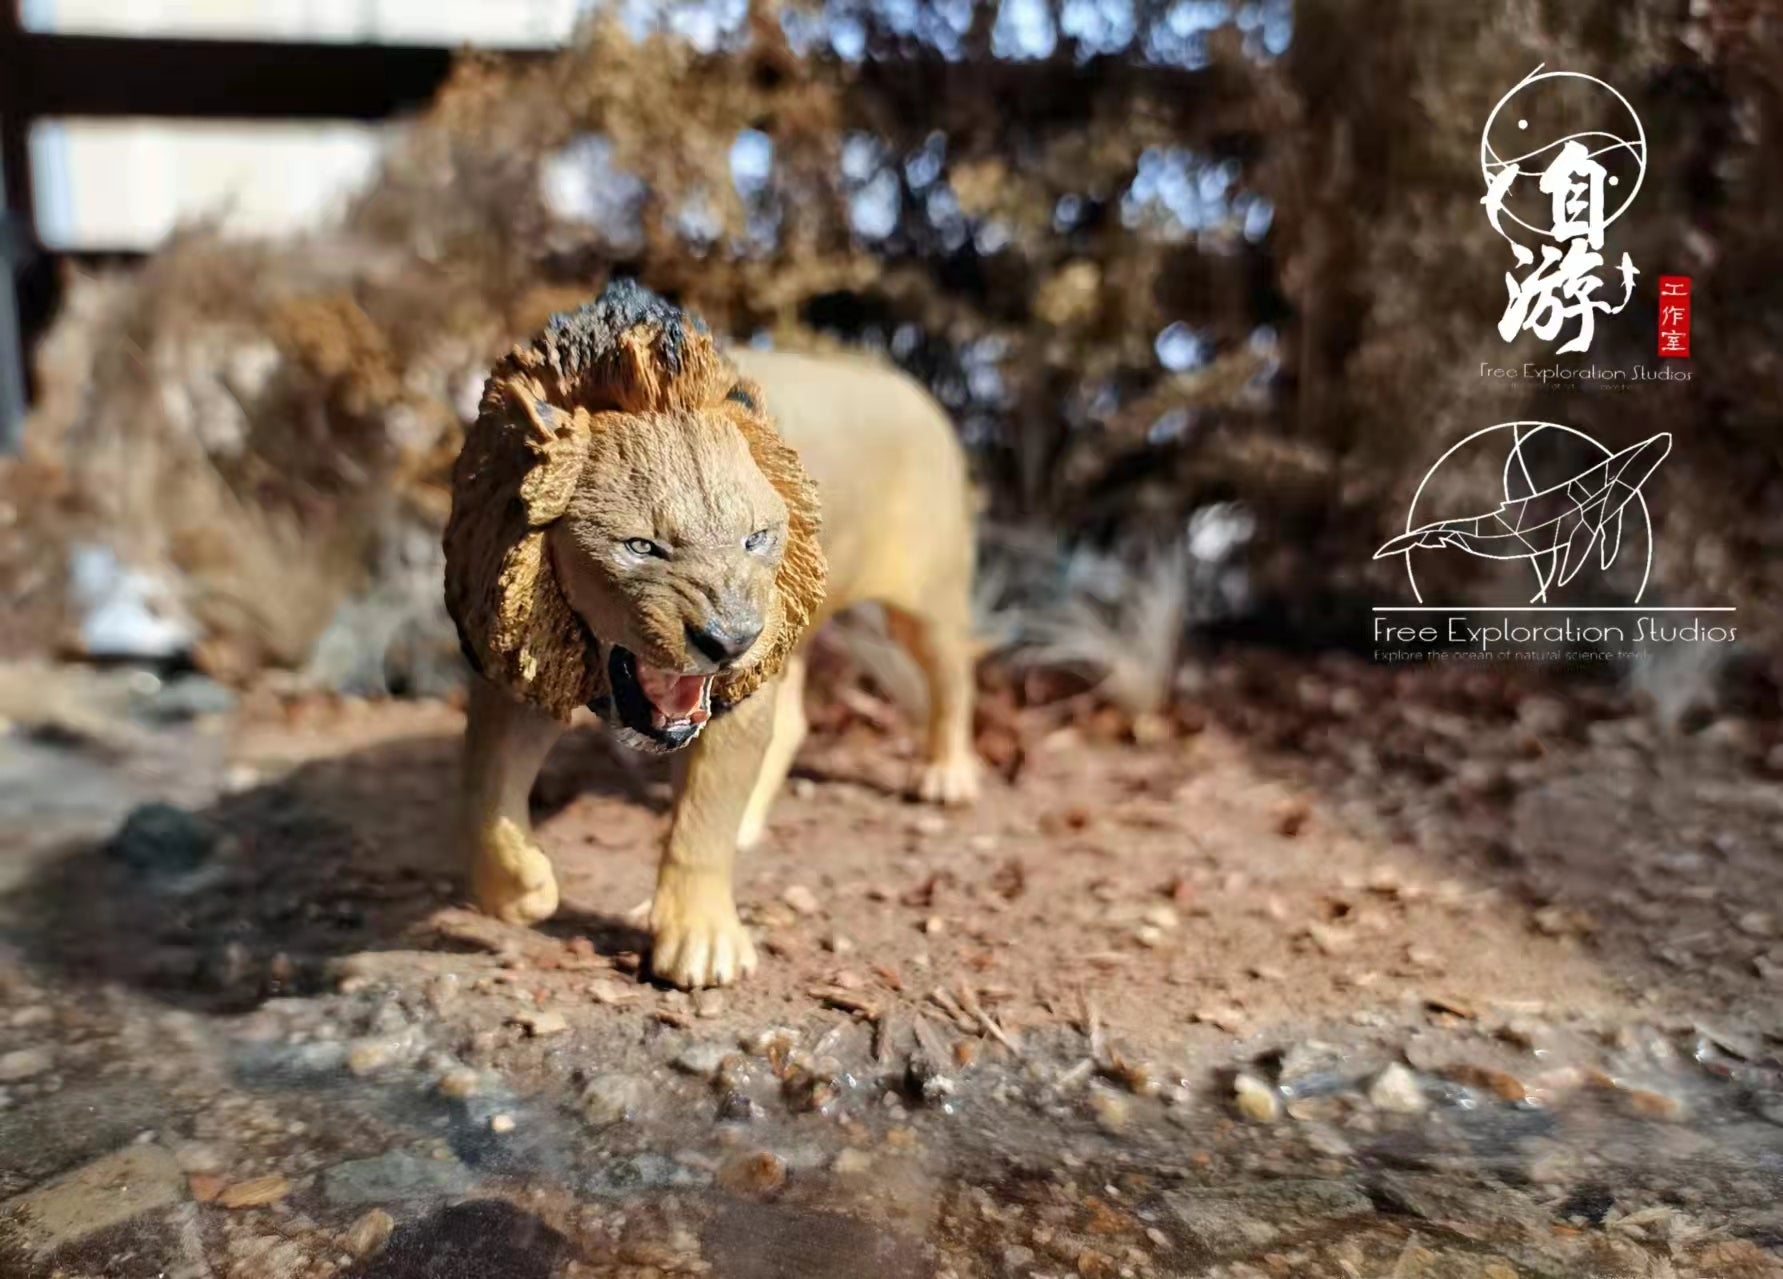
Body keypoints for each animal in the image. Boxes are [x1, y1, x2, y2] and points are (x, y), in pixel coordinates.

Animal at [443, 281, 979, 988]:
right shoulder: (523, 659)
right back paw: (752, 821)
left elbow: (702, 821)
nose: (731, 640)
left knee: (954, 676)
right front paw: (517, 890)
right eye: (641, 547)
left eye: (756, 538)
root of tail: (914, 392)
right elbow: (485, 786)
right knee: (795, 722)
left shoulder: (733, 690)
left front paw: (699, 942)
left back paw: (947, 775)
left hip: (923, 599)